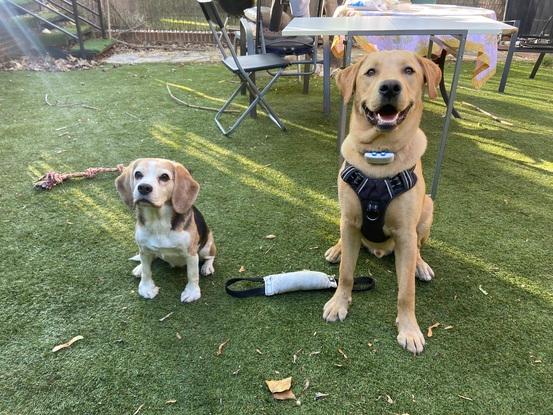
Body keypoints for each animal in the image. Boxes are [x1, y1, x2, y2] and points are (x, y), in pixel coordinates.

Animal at [116, 158, 216, 304]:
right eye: (138, 174)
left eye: (164, 177)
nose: (144, 187)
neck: (158, 221)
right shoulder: (144, 249)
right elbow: (146, 271)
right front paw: (146, 287)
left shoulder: (191, 254)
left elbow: (192, 274)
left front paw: (192, 292)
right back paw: (139, 268)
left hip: (206, 247)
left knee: (210, 256)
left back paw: (207, 267)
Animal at [324, 49, 440, 354]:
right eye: (370, 72)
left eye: (409, 70)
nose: (390, 87)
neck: (379, 152)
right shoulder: (351, 220)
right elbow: (347, 273)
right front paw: (339, 303)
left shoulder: (405, 234)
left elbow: (406, 292)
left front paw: (409, 329)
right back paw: (337, 249)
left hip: (428, 208)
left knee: (419, 248)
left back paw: (421, 265)